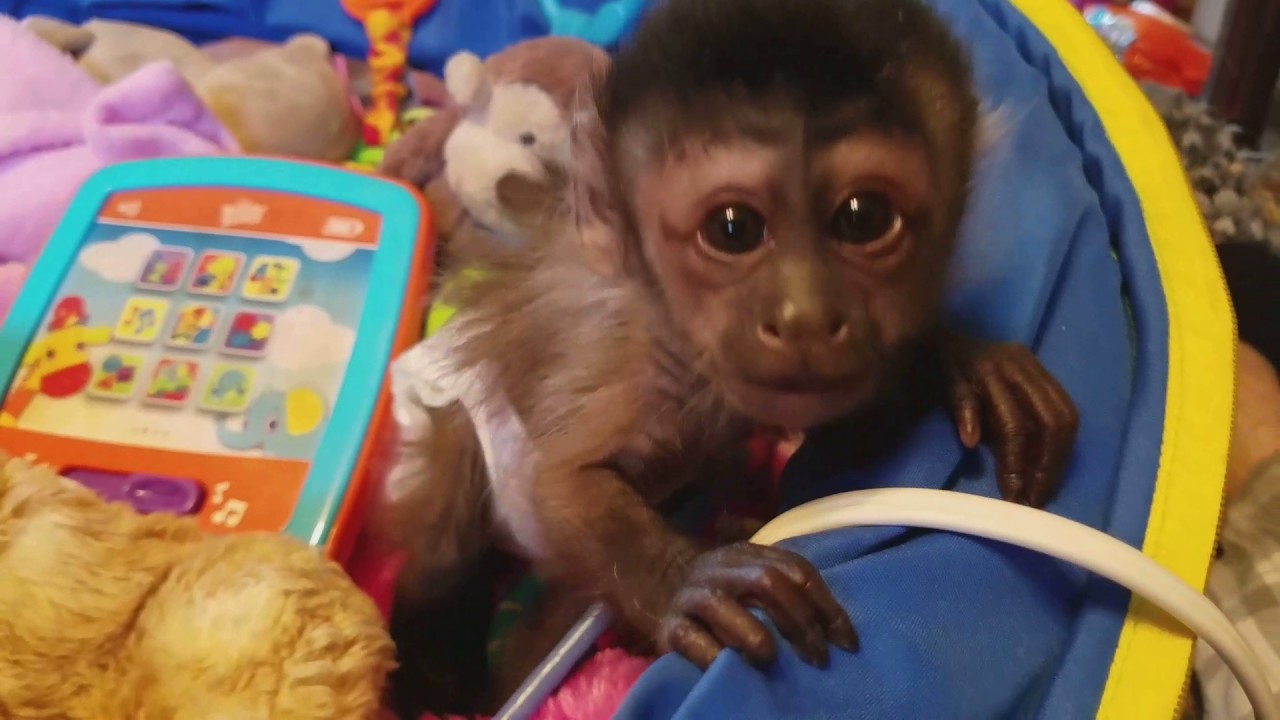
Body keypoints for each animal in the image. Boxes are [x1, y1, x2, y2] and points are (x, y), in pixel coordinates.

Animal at [372, 0, 1081, 715]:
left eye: (864, 217)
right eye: (733, 229)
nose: (805, 317)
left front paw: (957, 356)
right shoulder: (624, 363)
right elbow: (561, 483)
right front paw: (690, 581)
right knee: (450, 540)